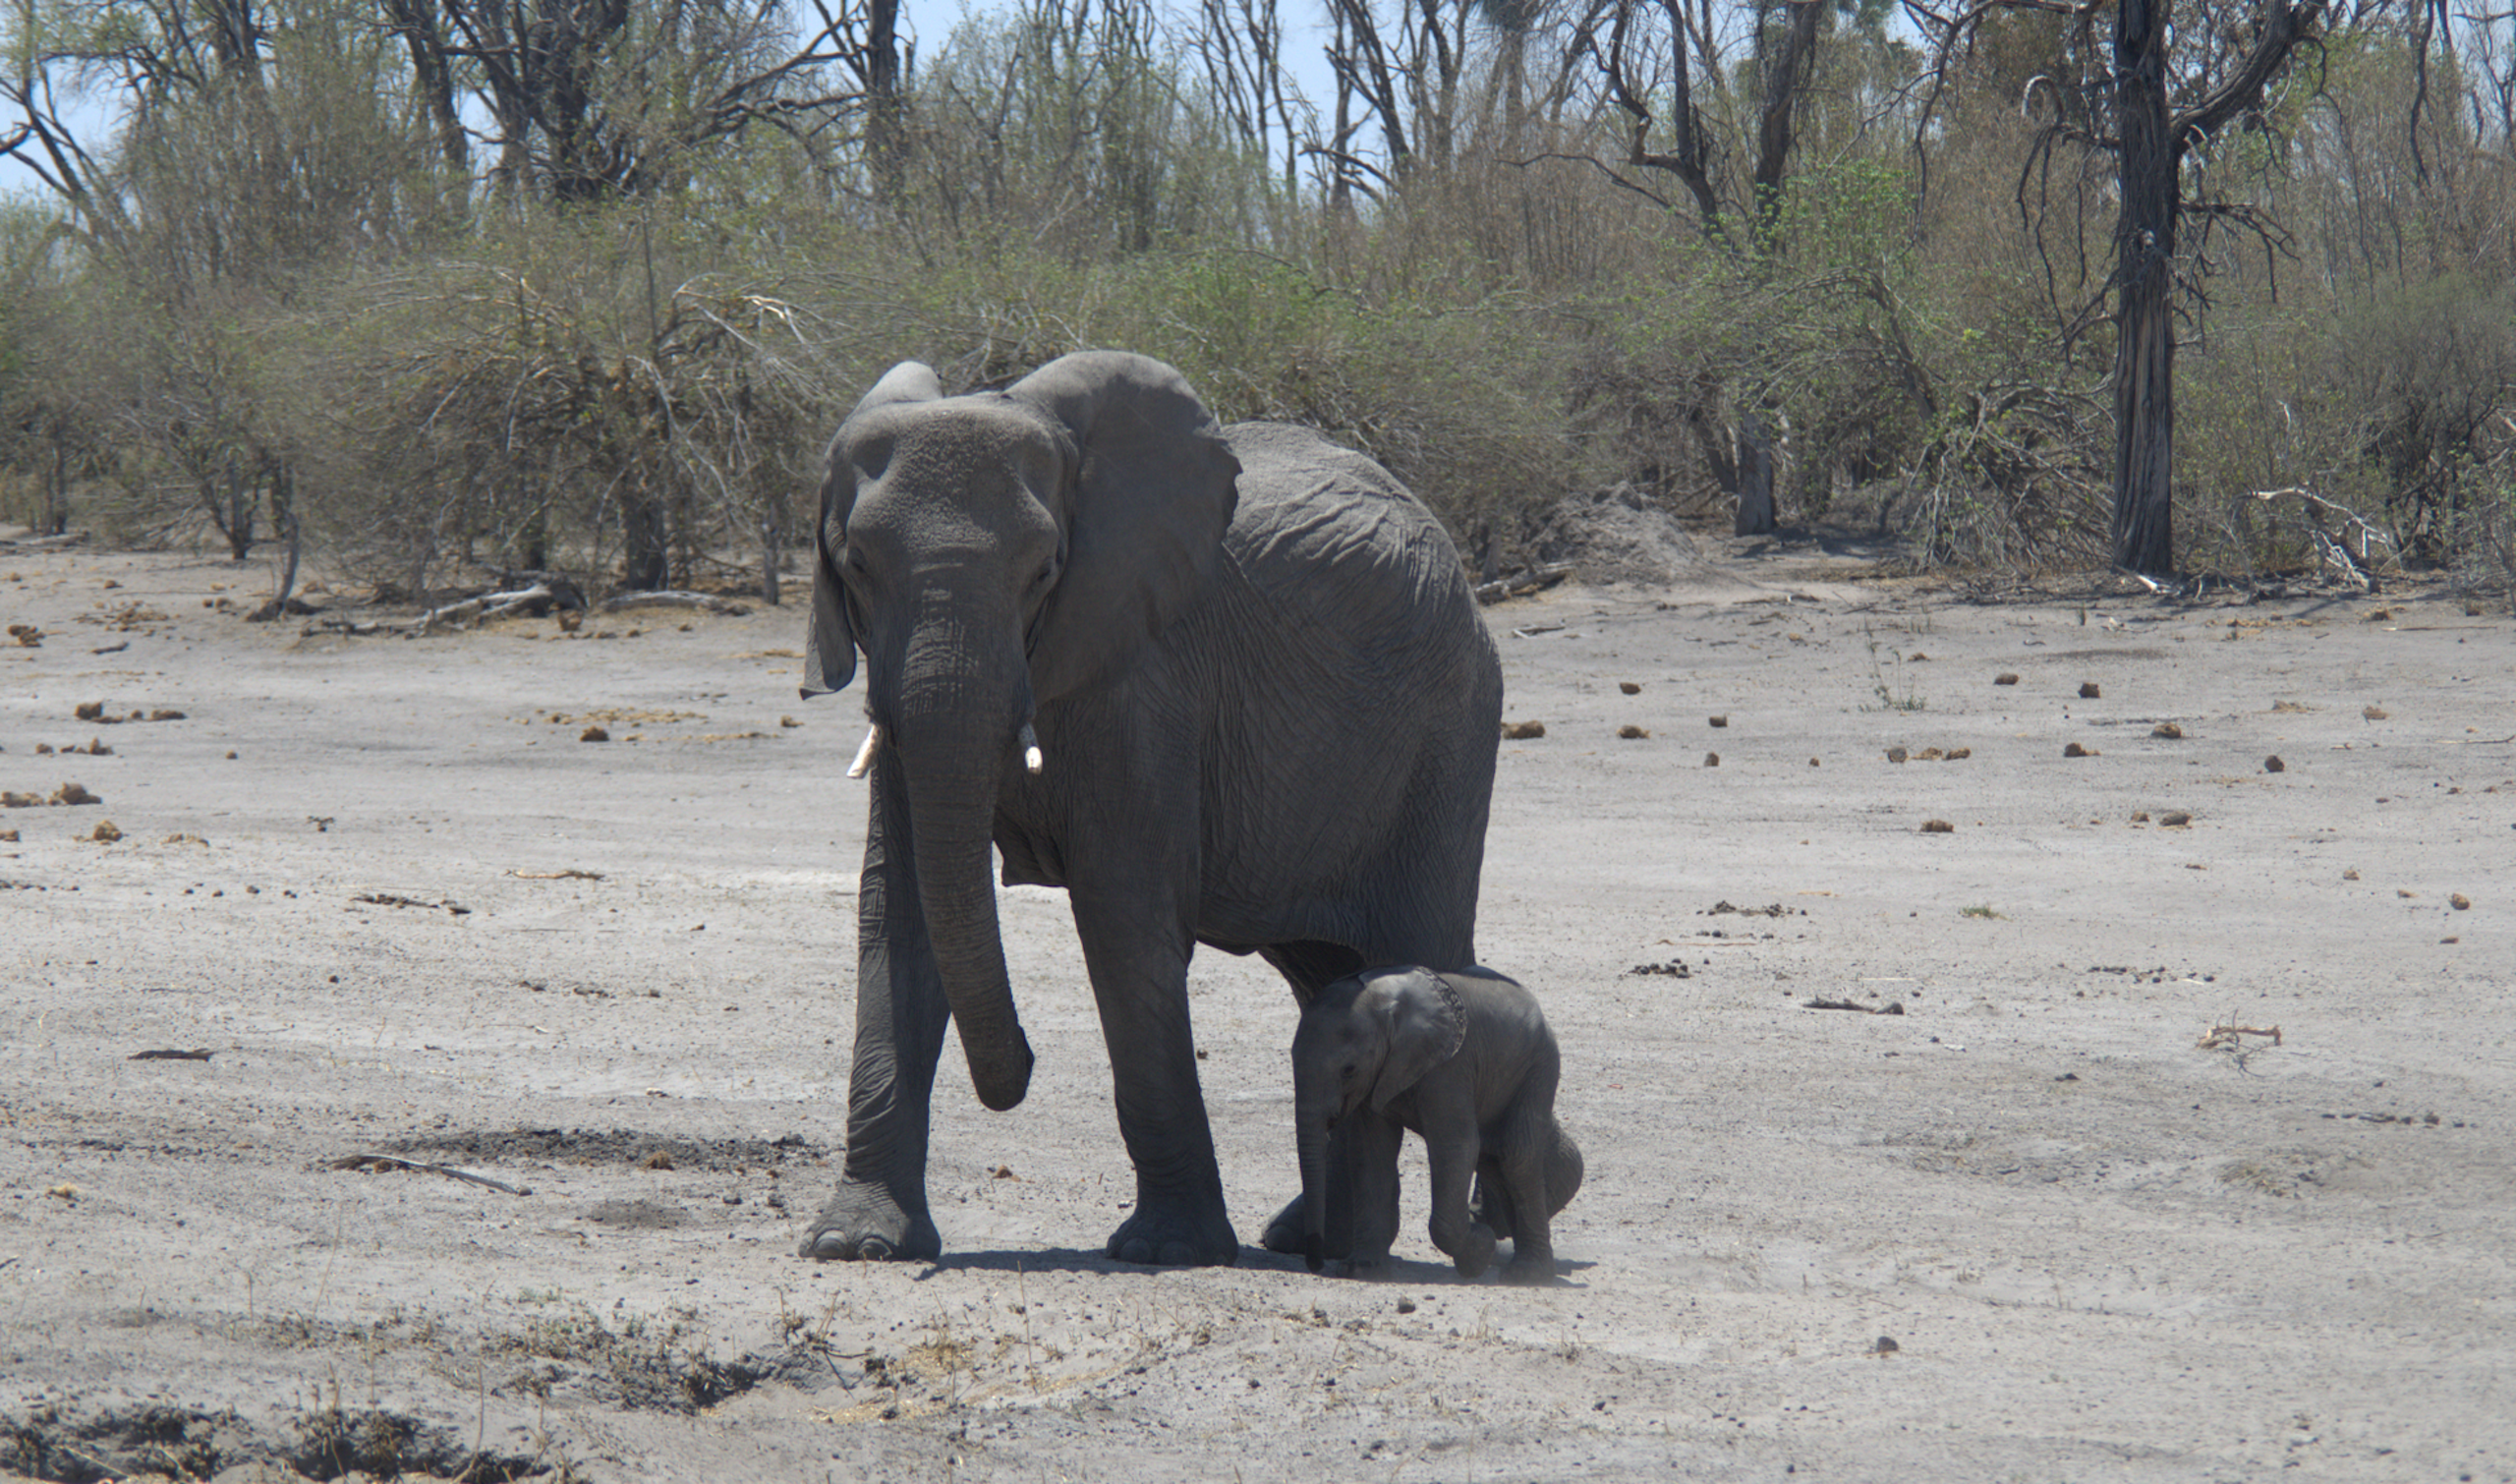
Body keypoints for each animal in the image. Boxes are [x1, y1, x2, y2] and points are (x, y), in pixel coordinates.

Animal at [795, 350, 1503, 1267]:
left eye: (1046, 572)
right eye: (854, 569)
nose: (1021, 1073)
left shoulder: (1144, 680)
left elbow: (1124, 920)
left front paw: (1169, 1250)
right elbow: (899, 913)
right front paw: (856, 1243)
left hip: (1448, 726)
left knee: (1422, 949)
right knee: (1327, 980)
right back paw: (1305, 1236)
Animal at [1291, 966, 1581, 1283]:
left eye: (1348, 1070)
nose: (1315, 1264)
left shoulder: (1450, 1067)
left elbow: (1455, 1146)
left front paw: (1480, 1252)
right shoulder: (1378, 1076)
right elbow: (1370, 1152)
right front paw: (1361, 1270)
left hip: (1538, 1065)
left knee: (1517, 1156)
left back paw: (1528, 1273)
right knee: (1491, 1157)